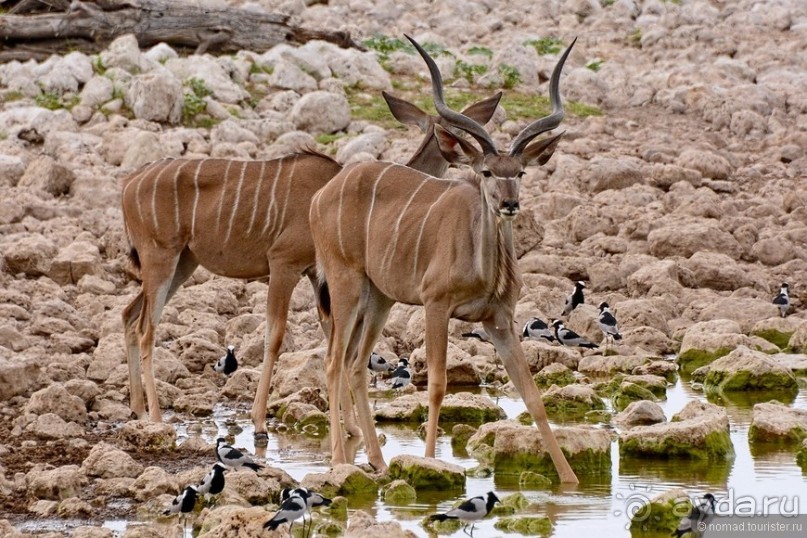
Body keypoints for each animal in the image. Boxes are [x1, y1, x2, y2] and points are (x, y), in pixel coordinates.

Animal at [120, 90, 502, 438]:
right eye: (453, 134)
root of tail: (128, 185)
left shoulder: (318, 276)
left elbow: (333, 338)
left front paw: (352, 429)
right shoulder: (285, 263)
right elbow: (277, 336)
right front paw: (260, 422)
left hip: (182, 262)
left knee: (128, 315)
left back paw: (137, 410)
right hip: (161, 257)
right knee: (146, 328)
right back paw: (156, 418)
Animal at [310, 37, 580, 482]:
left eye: (521, 172)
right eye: (486, 172)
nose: (509, 204)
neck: (484, 267)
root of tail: (322, 195)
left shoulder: (499, 318)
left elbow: (532, 394)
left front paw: (571, 481)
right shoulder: (436, 305)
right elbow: (437, 384)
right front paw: (430, 461)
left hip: (380, 298)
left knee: (355, 363)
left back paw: (378, 462)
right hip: (345, 283)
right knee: (333, 362)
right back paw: (339, 462)